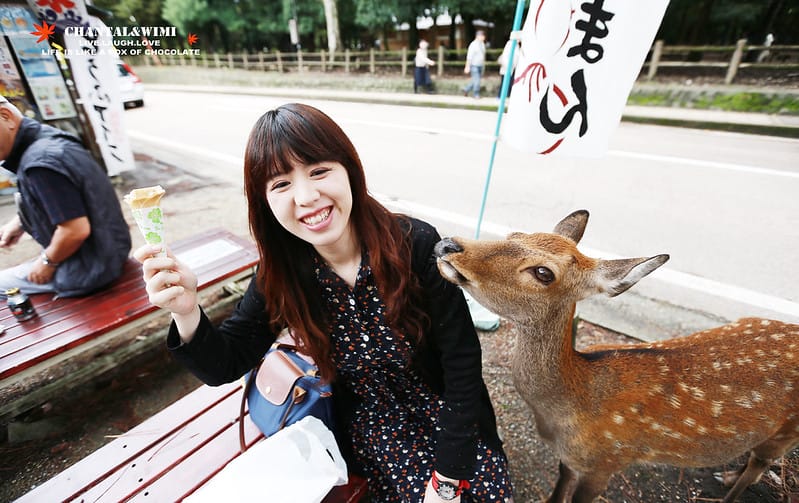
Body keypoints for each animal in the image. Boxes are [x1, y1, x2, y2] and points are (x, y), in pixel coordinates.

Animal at [433, 210, 799, 503]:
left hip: (787, 433)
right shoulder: (571, 458)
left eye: (543, 273)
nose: (448, 245)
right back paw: (727, 474)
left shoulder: (607, 462)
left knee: (760, 464)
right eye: (515, 234)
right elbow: (560, 485)